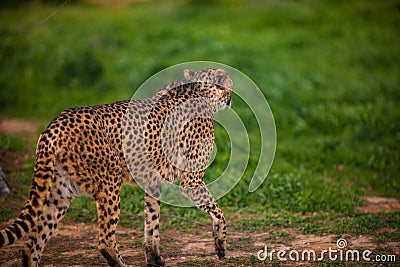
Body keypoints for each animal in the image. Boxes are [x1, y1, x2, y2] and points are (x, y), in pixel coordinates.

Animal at [0, 68, 231, 266]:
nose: (230, 99)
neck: (197, 90)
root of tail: (56, 124)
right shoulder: (191, 180)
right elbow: (218, 212)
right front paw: (220, 245)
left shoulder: (153, 182)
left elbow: (152, 221)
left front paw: (154, 258)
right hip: (108, 185)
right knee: (104, 240)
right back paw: (121, 264)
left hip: (59, 193)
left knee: (32, 245)